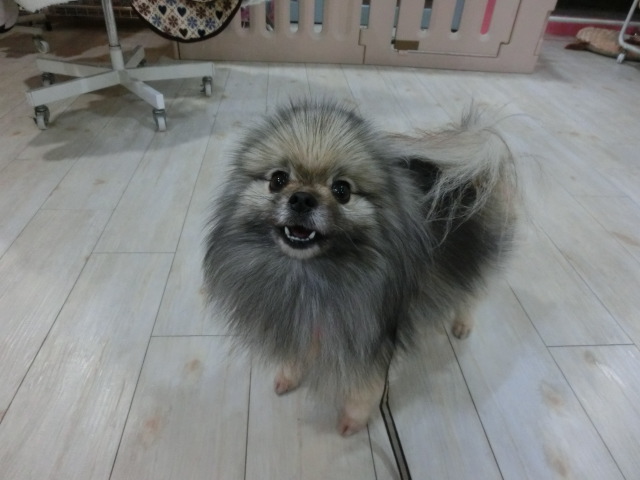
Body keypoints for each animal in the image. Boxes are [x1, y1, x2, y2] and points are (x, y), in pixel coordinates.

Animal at [203, 99, 517, 436]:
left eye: (342, 190)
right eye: (278, 179)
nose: (302, 199)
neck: (309, 274)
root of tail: (474, 166)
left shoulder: (374, 340)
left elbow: (364, 389)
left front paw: (352, 421)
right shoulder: (301, 322)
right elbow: (295, 355)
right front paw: (290, 375)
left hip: (480, 256)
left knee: (474, 291)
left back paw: (462, 323)